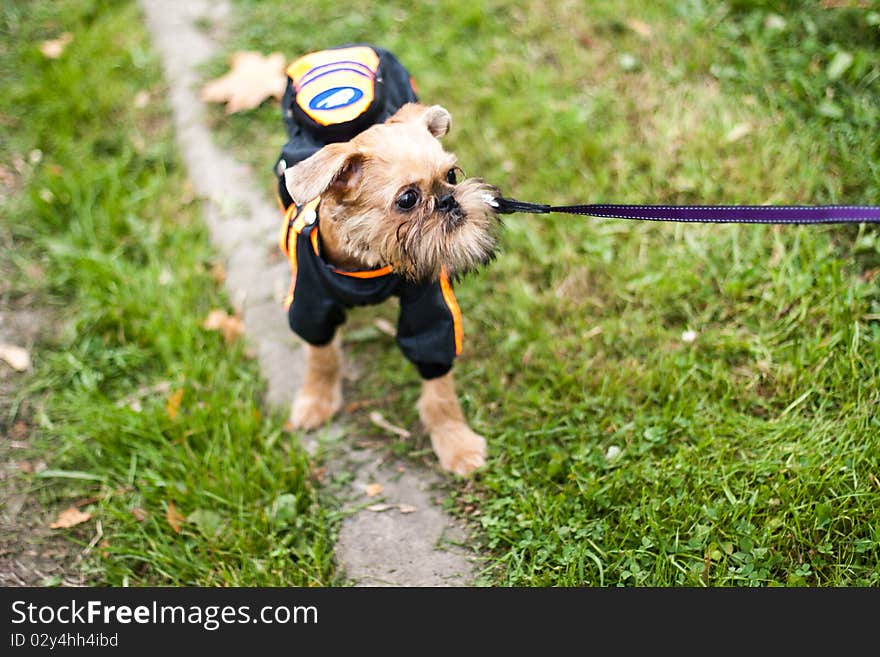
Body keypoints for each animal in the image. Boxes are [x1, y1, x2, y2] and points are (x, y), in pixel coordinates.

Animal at [282, 101, 502, 472]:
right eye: (408, 198)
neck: (368, 259)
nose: (448, 200)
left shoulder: (430, 313)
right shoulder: (312, 304)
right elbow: (321, 356)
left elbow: (439, 387)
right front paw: (316, 400)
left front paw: (454, 441)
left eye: (451, 176)